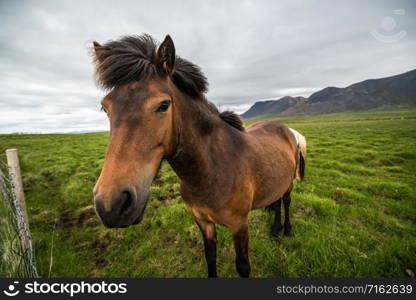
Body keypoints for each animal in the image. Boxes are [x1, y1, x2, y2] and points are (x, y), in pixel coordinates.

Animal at [91, 34, 306, 278]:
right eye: (105, 108)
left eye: (163, 105)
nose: (112, 205)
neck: (210, 170)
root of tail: (287, 129)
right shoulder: (203, 221)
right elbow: (210, 257)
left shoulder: (240, 225)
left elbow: (243, 267)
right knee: (276, 201)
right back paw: (276, 229)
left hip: (289, 183)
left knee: (286, 201)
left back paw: (286, 229)